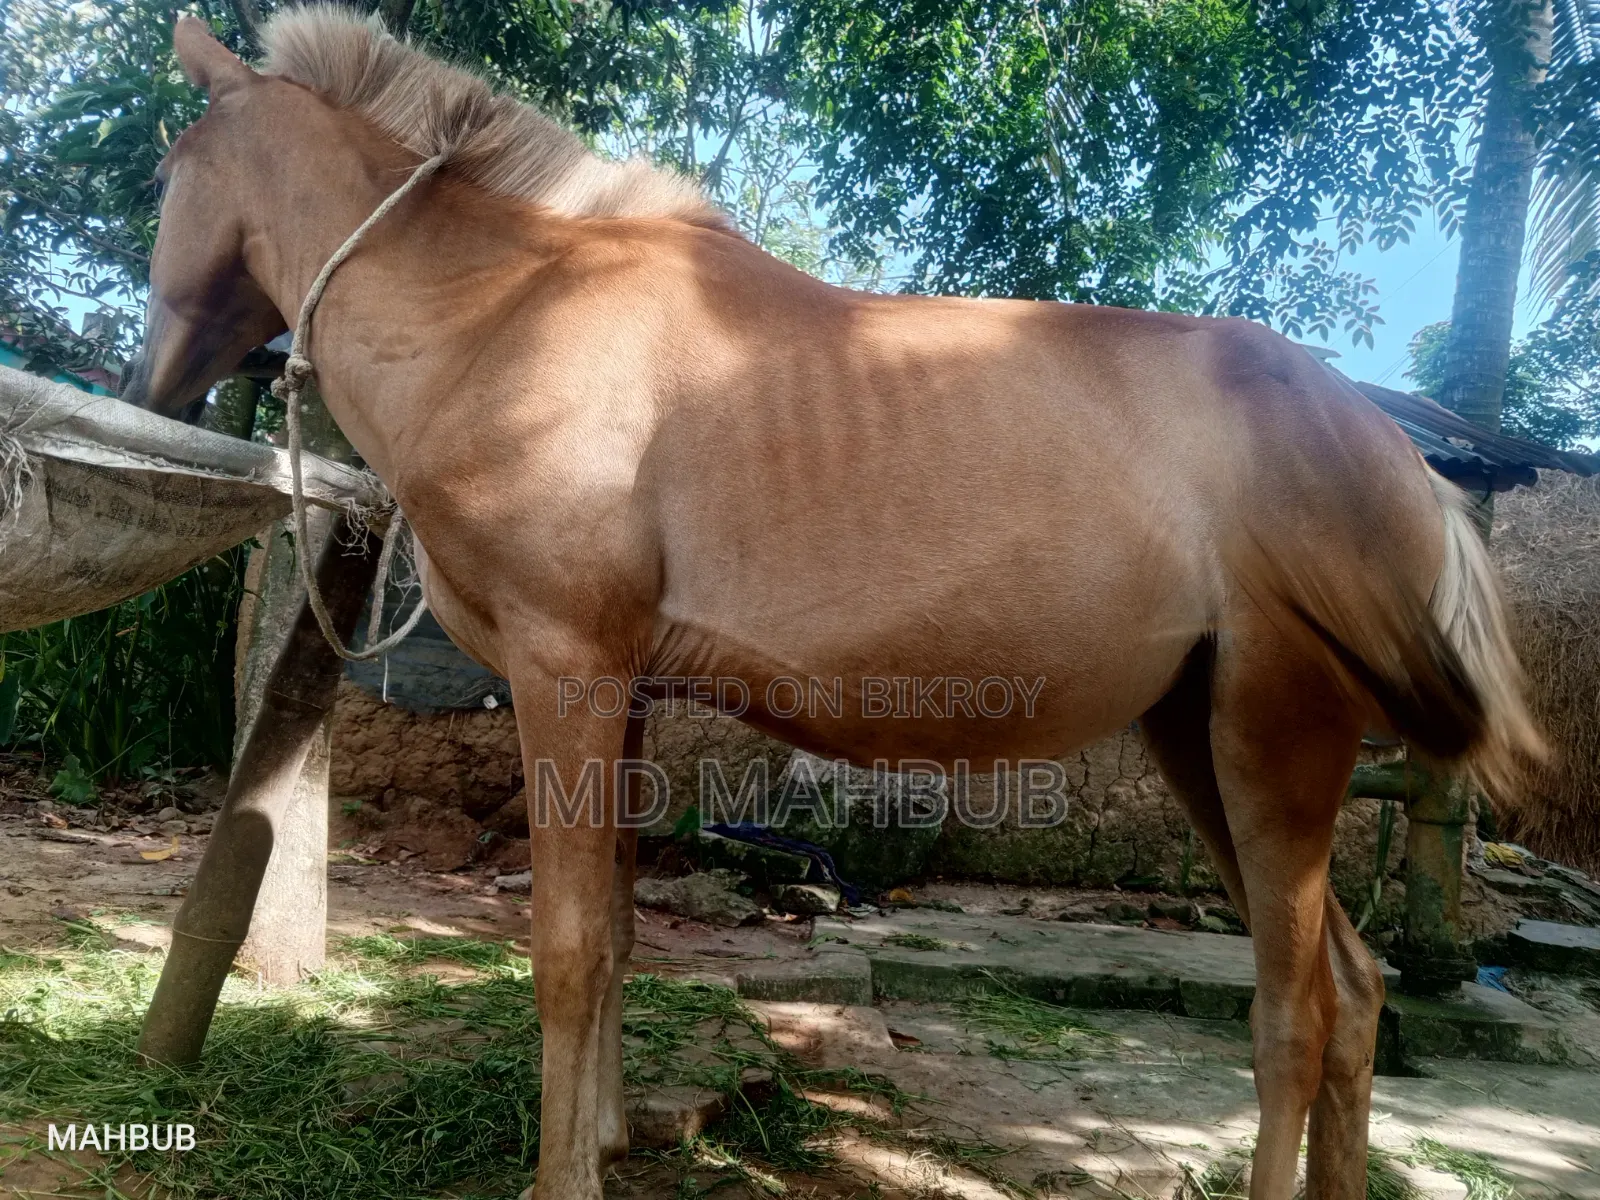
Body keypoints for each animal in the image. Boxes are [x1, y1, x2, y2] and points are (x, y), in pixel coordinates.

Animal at [122, 9, 1540, 1197]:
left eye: (165, 171)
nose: (153, 386)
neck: (507, 316)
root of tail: (1398, 452)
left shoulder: (564, 671)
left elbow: (567, 947)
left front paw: (561, 1176)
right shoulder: (627, 693)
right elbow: (620, 933)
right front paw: (609, 1135)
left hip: (1275, 741)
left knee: (1295, 1013)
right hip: (1199, 740)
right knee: (1355, 995)